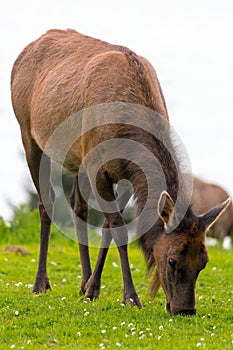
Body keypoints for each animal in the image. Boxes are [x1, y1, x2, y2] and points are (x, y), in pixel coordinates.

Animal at [10, 29, 229, 314]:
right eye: (172, 260)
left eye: (203, 262)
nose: (185, 309)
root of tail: (25, 51)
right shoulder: (97, 168)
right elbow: (119, 228)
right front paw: (131, 296)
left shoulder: (124, 175)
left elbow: (107, 226)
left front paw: (92, 288)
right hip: (28, 133)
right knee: (45, 203)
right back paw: (40, 284)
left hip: (77, 157)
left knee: (78, 207)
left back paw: (83, 281)